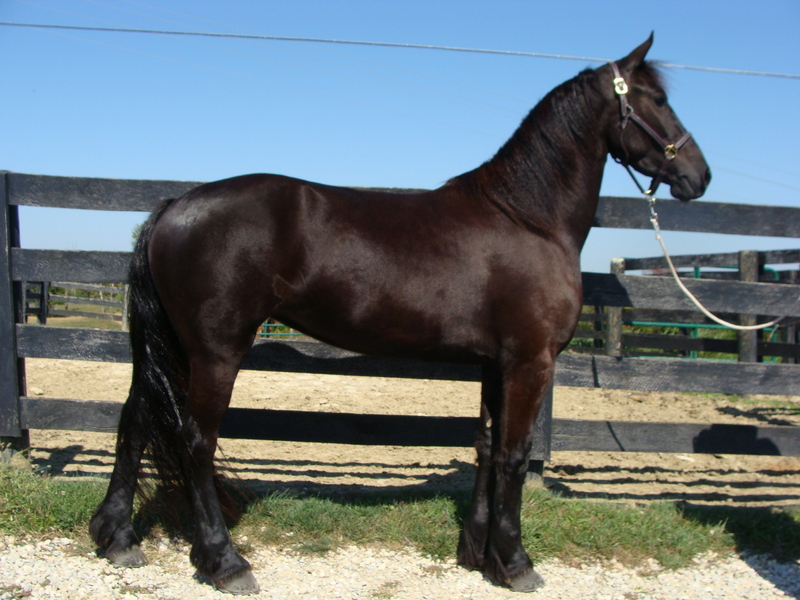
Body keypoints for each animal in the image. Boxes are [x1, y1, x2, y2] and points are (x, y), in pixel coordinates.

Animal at [89, 34, 710, 594]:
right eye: (657, 98)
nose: (699, 176)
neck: (528, 219)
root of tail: (175, 206)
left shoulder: (495, 364)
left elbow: (487, 448)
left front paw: (476, 554)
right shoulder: (530, 362)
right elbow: (514, 456)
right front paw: (515, 563)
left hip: (172, 346)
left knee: (135, 422)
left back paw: (117, 537)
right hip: (216, 351)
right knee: (196, 440)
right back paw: (224, 562)